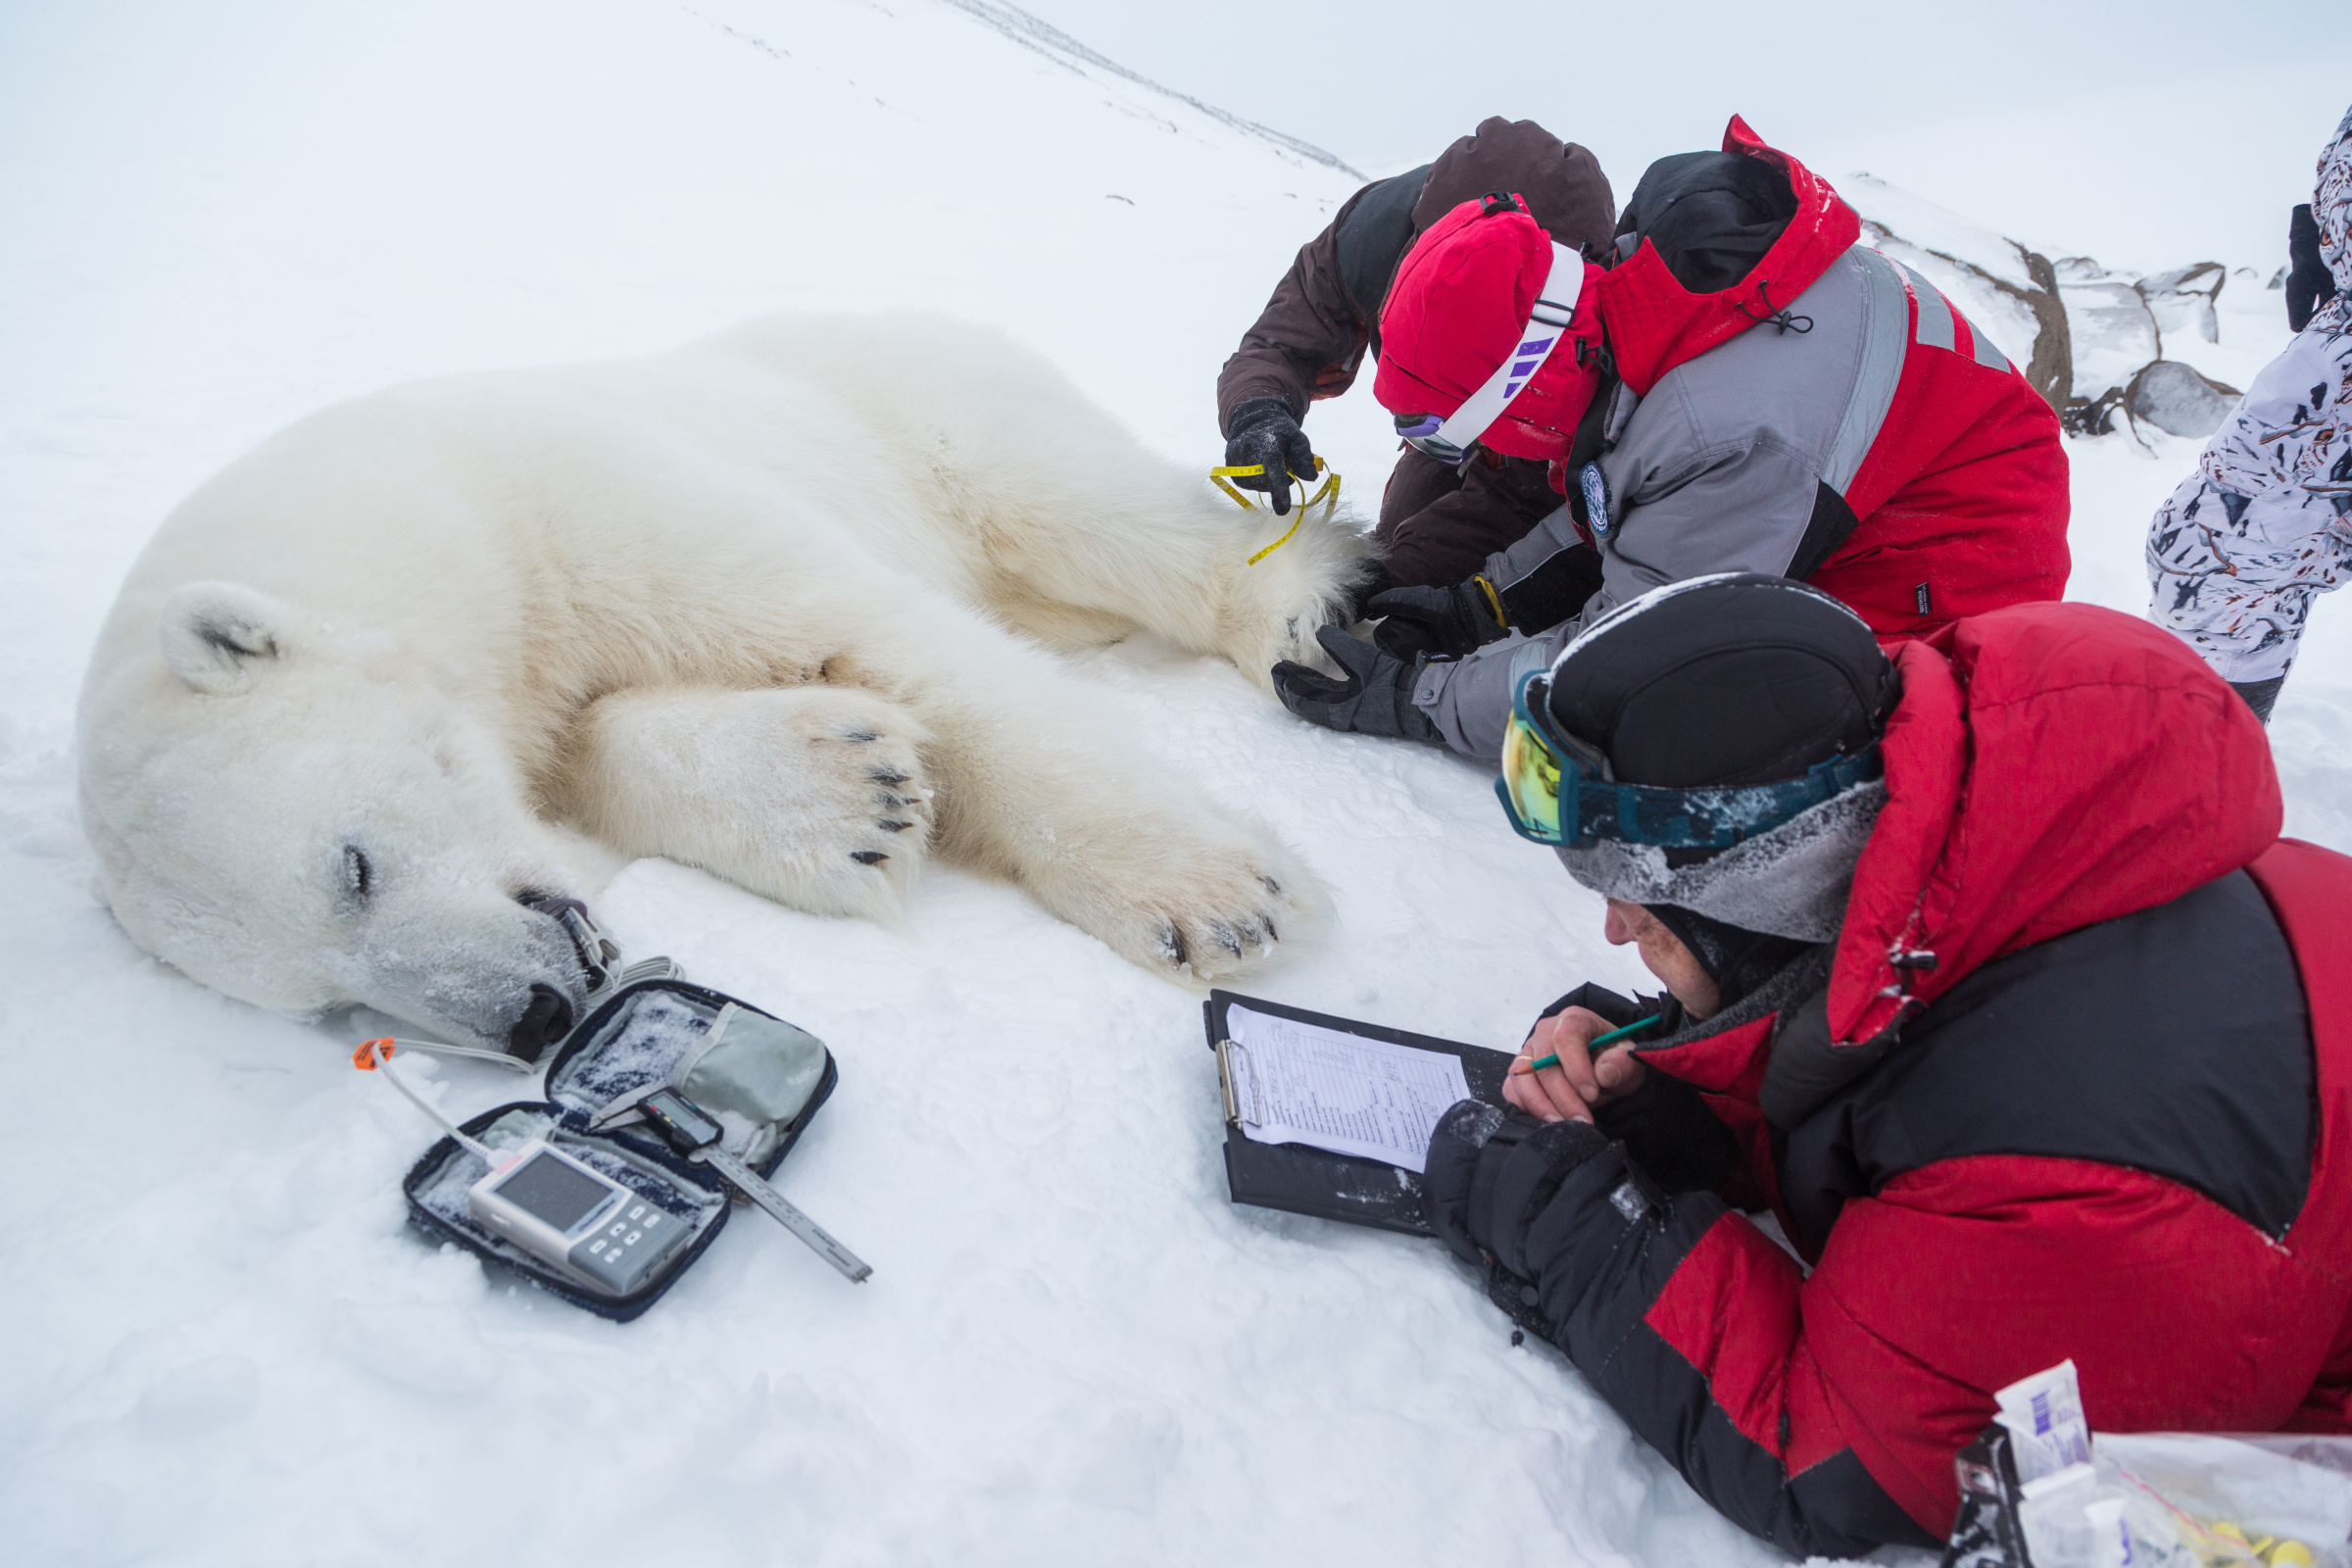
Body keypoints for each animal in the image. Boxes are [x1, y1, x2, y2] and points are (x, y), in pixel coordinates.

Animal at [77, 313, 1373, 1062]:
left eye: (352, 868)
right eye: (326, 1005)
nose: (530, 1015)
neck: (433, 516)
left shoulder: (575, 501)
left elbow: (878, 634)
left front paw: (1213, 897)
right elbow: (602, 741)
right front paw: (853, 796)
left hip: (916, 404)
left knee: (1081, 508)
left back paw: (1287, 610)